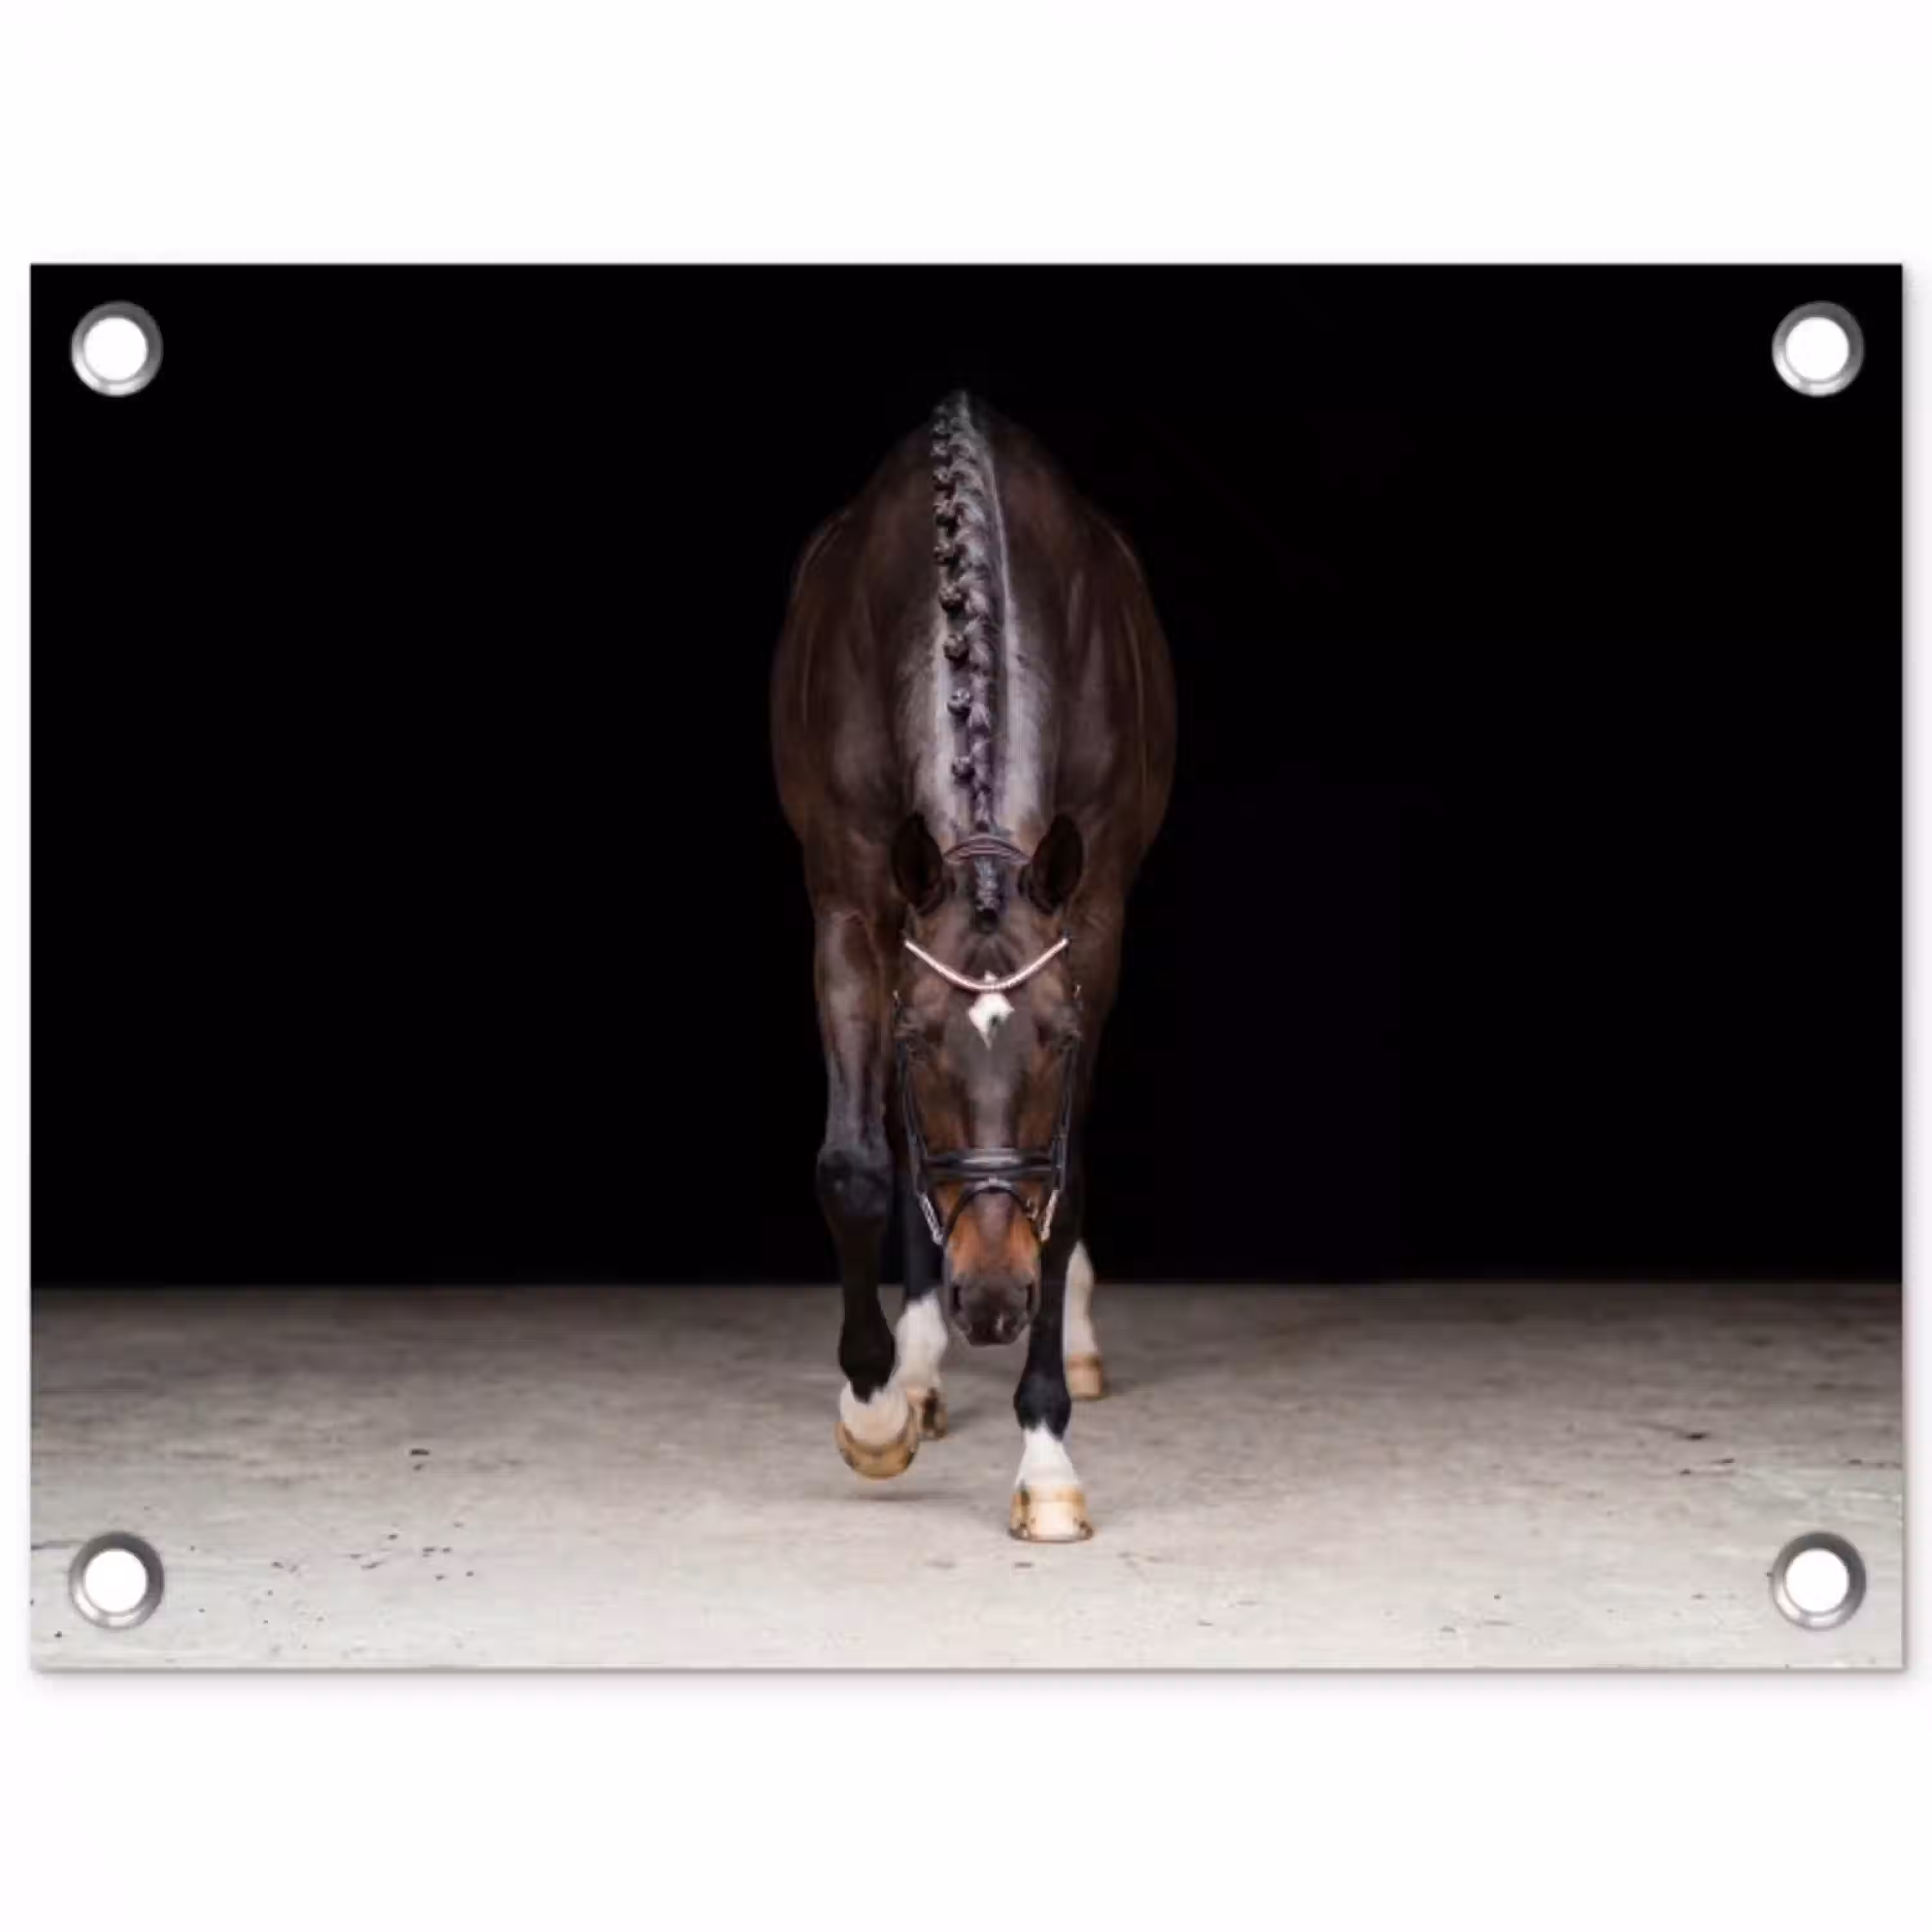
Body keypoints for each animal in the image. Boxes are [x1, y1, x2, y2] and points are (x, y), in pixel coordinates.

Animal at [771, 391, 1176, 1540]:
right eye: (917, 1044)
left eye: (1061, 1041)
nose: (993, 1301)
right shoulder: (851, 910)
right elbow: (859, 1164)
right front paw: (875, 1409)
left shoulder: (1093, 922)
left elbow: (1064, 1181)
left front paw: (1046, 1460)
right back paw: (917, 1369)